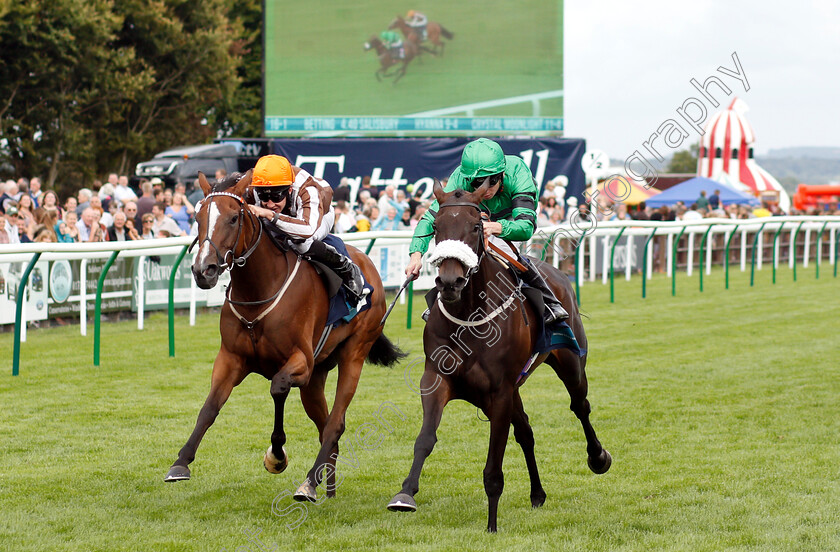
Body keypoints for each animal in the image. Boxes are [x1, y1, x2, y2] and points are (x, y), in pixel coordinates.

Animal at [166, 171, 406, 504]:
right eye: (198, 218)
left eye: (233, 218)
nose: (205, 270)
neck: (259, 290)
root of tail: (369, 265)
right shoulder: (230, 359)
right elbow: (209, 408)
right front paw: (180, 462)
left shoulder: (300, 362)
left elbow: (277, 388)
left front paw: (276, 456)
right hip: (317, 377)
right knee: (325, 426)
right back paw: (328, 487)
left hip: (353, 355)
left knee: (335, 424)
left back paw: (309, 484)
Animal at [388, 180, 612, 532]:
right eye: (436, 227)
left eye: (476, 226)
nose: (450, 282)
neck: (468, 316)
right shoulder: (438, 379)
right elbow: (425, 438)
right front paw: (405, 494)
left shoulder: (500, 392)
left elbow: (493, 466)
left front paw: (491, 525)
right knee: (526, 432)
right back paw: (537, 494)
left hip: (570, 363)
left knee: (580, 406)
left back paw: (598, 457)